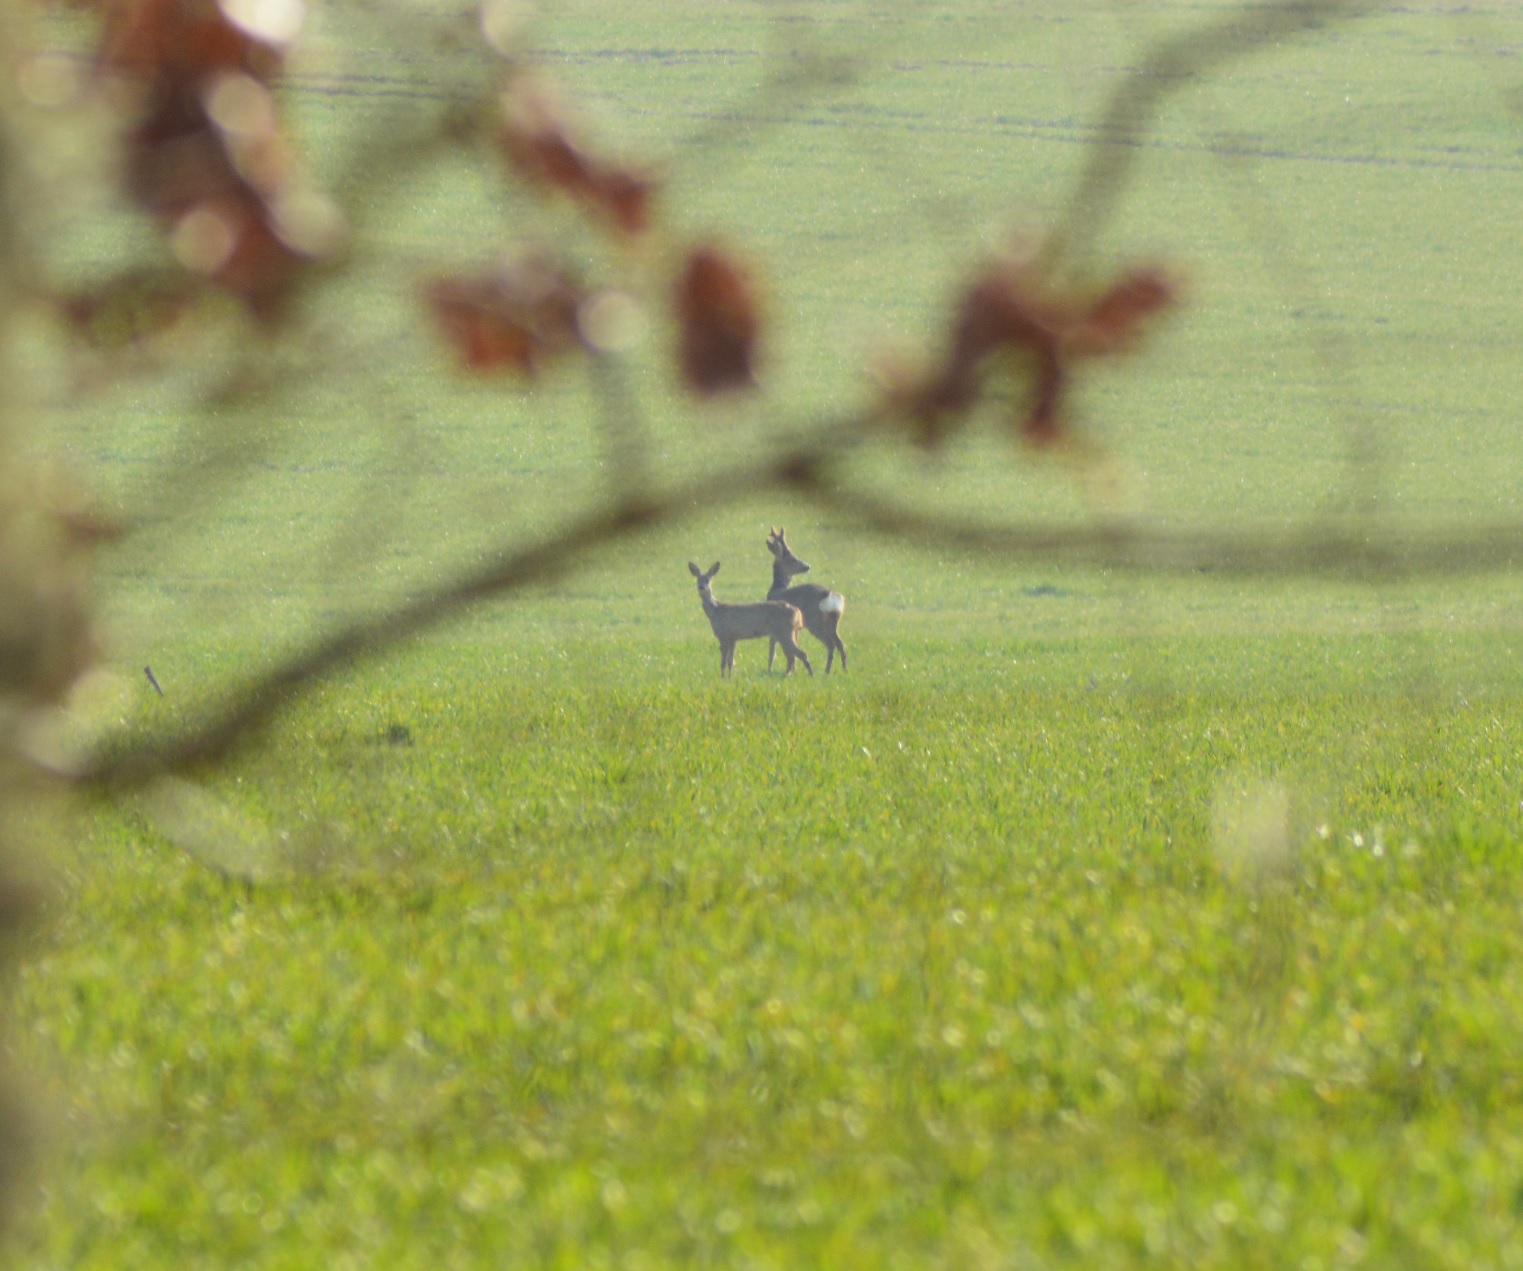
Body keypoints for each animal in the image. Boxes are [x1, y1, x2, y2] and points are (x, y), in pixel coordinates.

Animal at [761, 526, 846, 675]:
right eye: (792, 559)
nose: (807, 566)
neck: (776, 588)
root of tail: (828, 594)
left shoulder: (776, 626)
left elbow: (772, 650)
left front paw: (770, 669)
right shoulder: (795, 629)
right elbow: (792, 649)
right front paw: (793, 671)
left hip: (814, 622)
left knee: (830, 644)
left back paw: (826, 671)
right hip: (833, 620)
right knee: (840, 643)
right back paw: (844, 669)